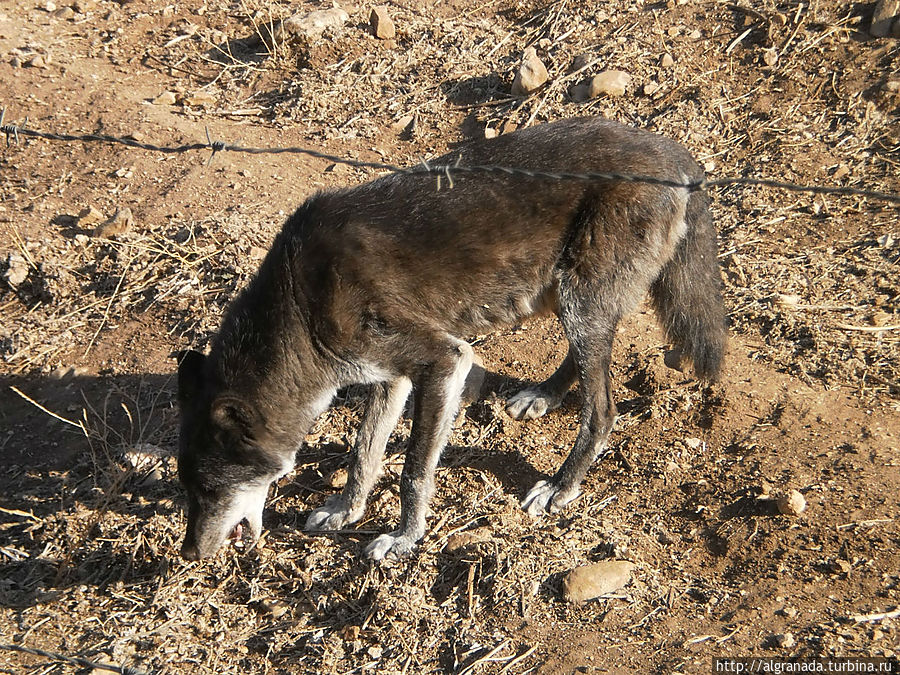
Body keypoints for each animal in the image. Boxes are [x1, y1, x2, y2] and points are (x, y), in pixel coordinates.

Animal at [174, 119, 724, 564]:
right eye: (187, 488)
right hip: (568, 302)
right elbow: (364, 453)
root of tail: (673, 152)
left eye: (209, 489)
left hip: (579, 306)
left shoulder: (444, 361)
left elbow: (412, 470)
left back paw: (560, 486)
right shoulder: (388, 376)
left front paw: (404, 539)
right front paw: (346, 510)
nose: (190, 555)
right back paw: (543, 395)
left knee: (602, 411)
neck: (300, 302)